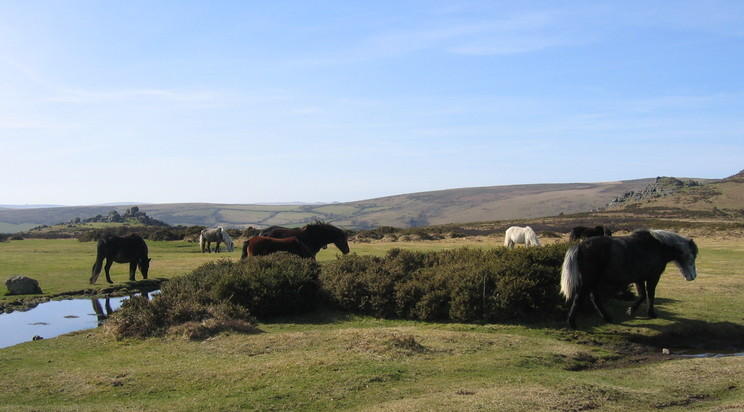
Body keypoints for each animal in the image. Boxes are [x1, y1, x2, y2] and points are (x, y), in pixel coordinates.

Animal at [560, 230, 700, 330]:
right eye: (692, 256)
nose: (692, 277)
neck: (657, 247)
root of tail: (580, 246)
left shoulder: (639, 278)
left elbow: (643, 295)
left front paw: (631, 311)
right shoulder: (653, 277)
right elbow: (650, 294)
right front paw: (650, 313)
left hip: (594, 281)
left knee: (595, 299)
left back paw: (608, 318)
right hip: (589, 281)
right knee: (579, 298)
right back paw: (572, 323)